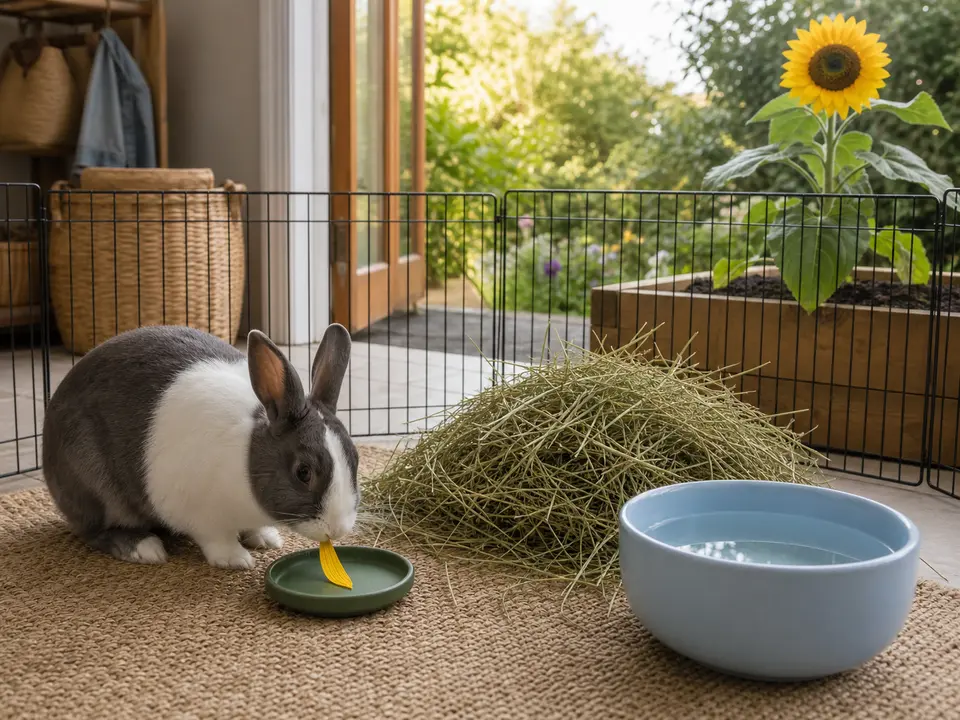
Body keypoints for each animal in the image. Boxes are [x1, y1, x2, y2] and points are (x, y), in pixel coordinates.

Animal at [41, 323, 359, 570]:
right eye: (303, 472)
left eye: (354, 458)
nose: (337, 529)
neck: (247, 457)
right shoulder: (199, 514)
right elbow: (216, 538)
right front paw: (237, 559)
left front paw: (266, 539)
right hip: (94, 483)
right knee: (94, 530)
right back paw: (146, 548)